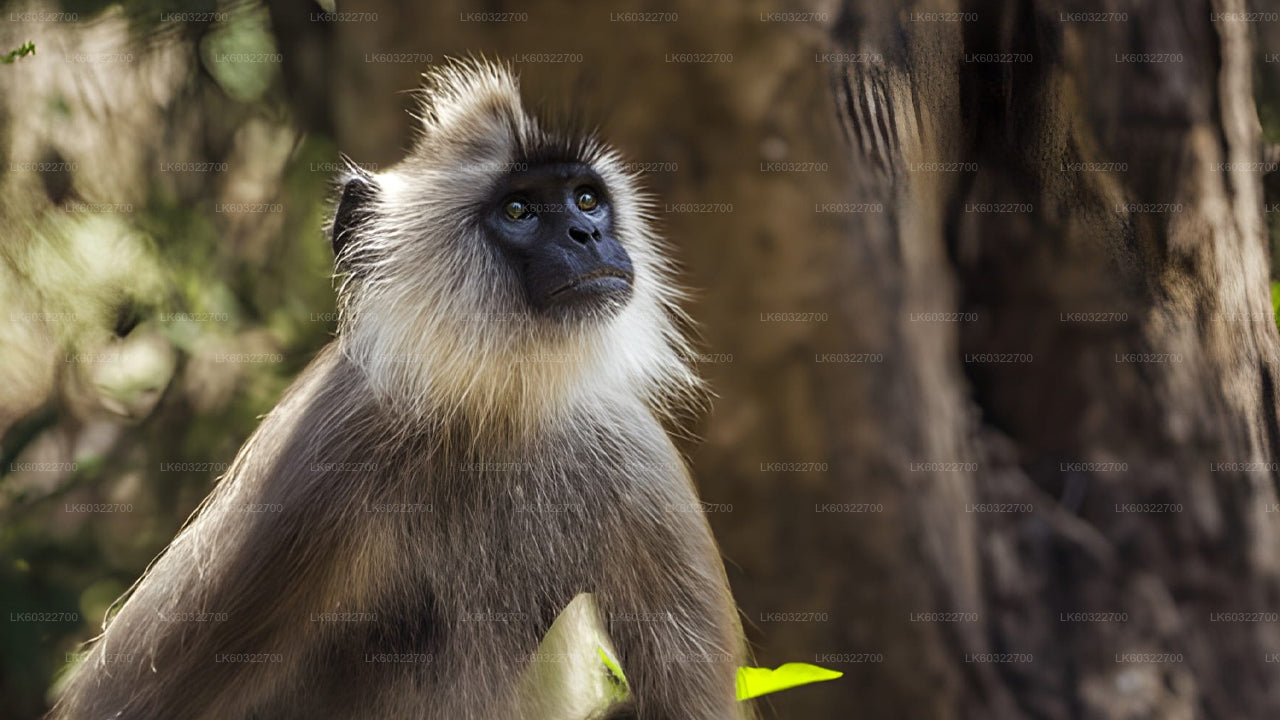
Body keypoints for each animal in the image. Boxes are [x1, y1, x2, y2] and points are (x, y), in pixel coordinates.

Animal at [51, 58, 750, 720]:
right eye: (519, 210)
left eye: (584, 200)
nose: (590, 236)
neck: (491, 414)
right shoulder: (321, 452)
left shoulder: (633, 455)